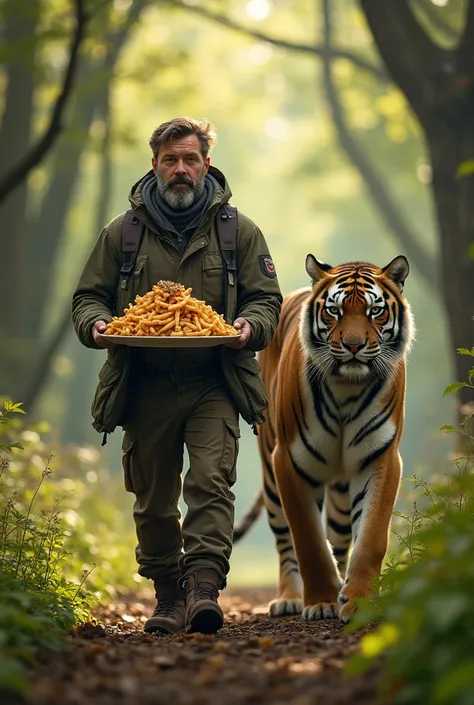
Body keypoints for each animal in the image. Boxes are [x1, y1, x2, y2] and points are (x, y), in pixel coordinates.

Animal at [233, 252, 414, 620]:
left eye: (375, 311)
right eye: (335, 311)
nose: (354, 346)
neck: (347, 387)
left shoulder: (381, 457)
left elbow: (371, 537)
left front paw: (358, 599)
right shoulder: (289, 460)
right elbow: (308, 541)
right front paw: (320, 602)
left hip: (342, 492)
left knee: (341, 536)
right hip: (270, 473)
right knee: (284, 540)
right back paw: (289, 597)